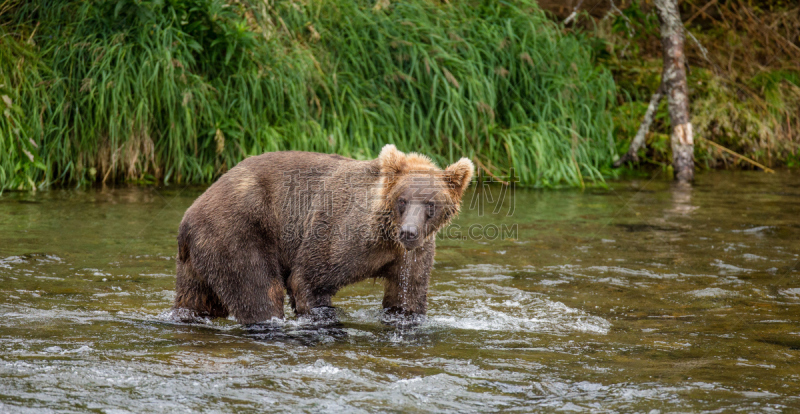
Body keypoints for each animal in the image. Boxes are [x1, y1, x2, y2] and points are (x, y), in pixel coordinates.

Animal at [173, 144, 476, 326]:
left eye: (431, 204)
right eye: (402, 200)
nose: (409, 232)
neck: (384, 237)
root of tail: (187, 217)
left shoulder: (412, 255)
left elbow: (407, 297)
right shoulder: (339, 231)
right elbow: (309, 279)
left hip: (201, 256)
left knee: (196, 298)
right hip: (239, 229)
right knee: (258, 289)